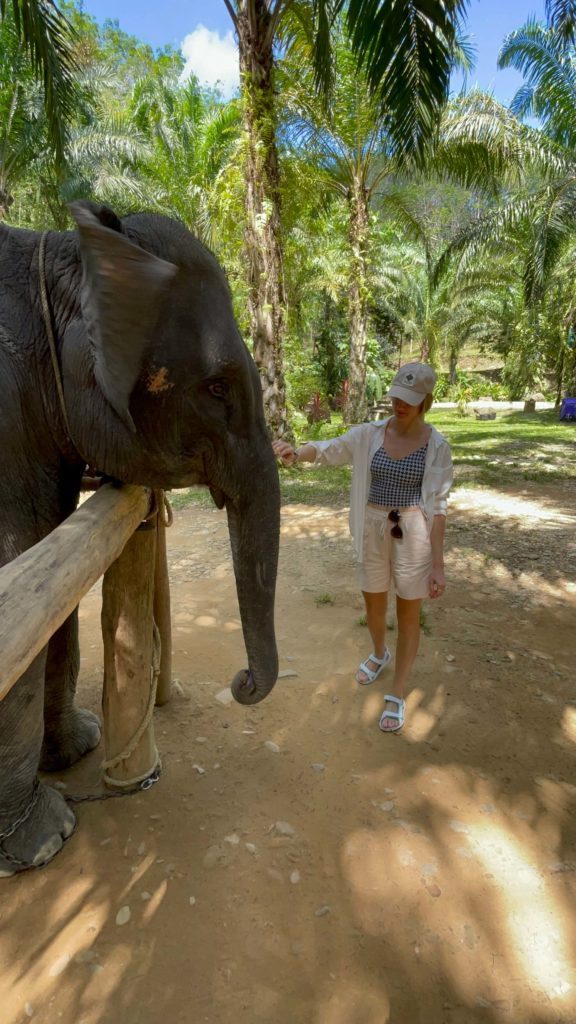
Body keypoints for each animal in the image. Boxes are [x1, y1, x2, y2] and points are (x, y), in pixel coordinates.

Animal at [0, 201, 280, 875]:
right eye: (216, 388)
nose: (242, 683)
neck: (64, 251)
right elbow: (19, 565)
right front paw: (46, 841)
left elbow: (53, 588)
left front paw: (81, 746)